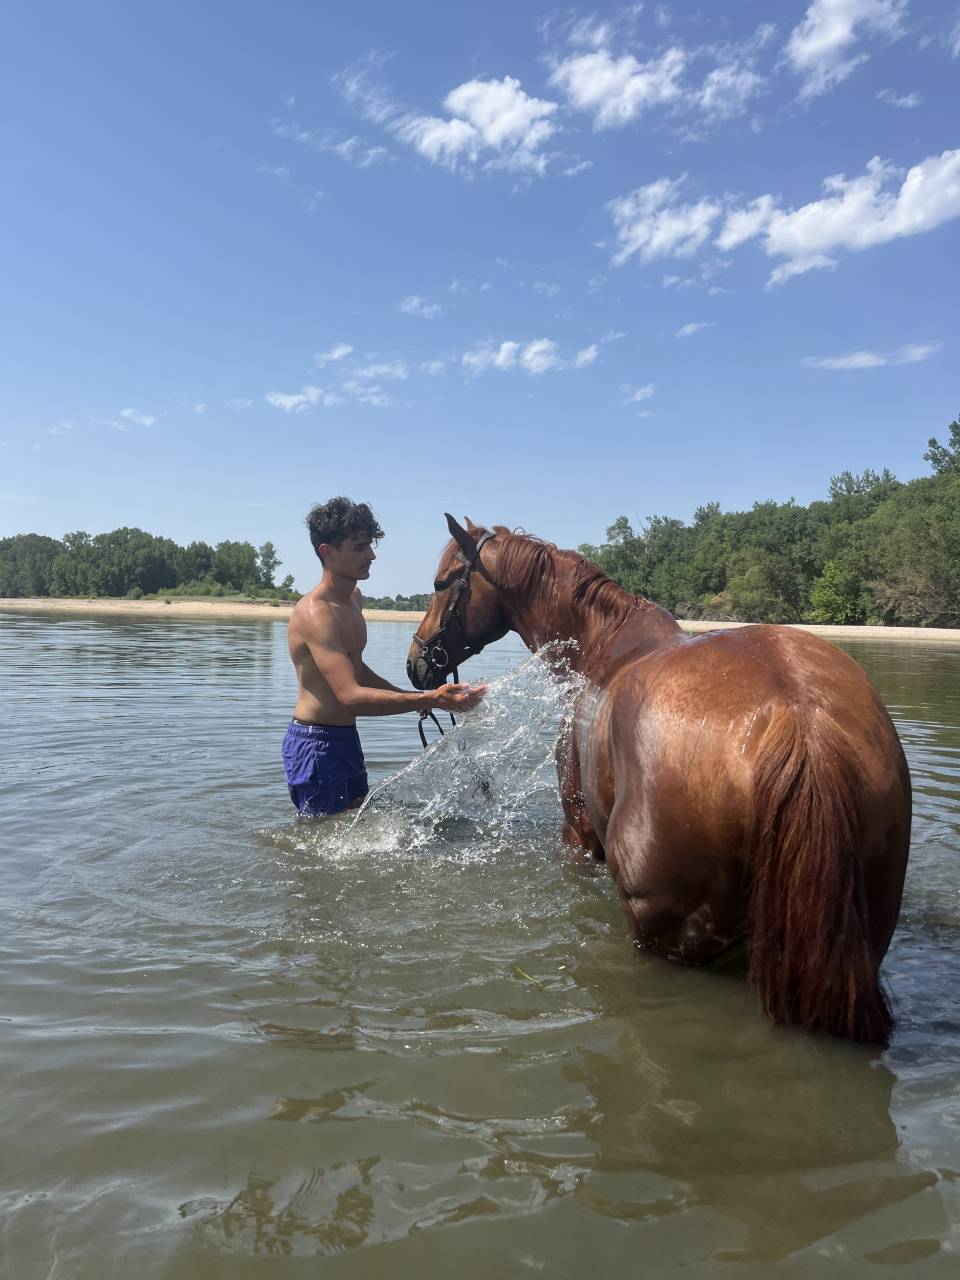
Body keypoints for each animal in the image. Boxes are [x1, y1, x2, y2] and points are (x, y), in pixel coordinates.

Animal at [407, 515, 912, 1046]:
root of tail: (799, 721)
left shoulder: (578, 830)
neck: (600, 648)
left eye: (441, 583)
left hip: (666, 932)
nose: (415, 663)